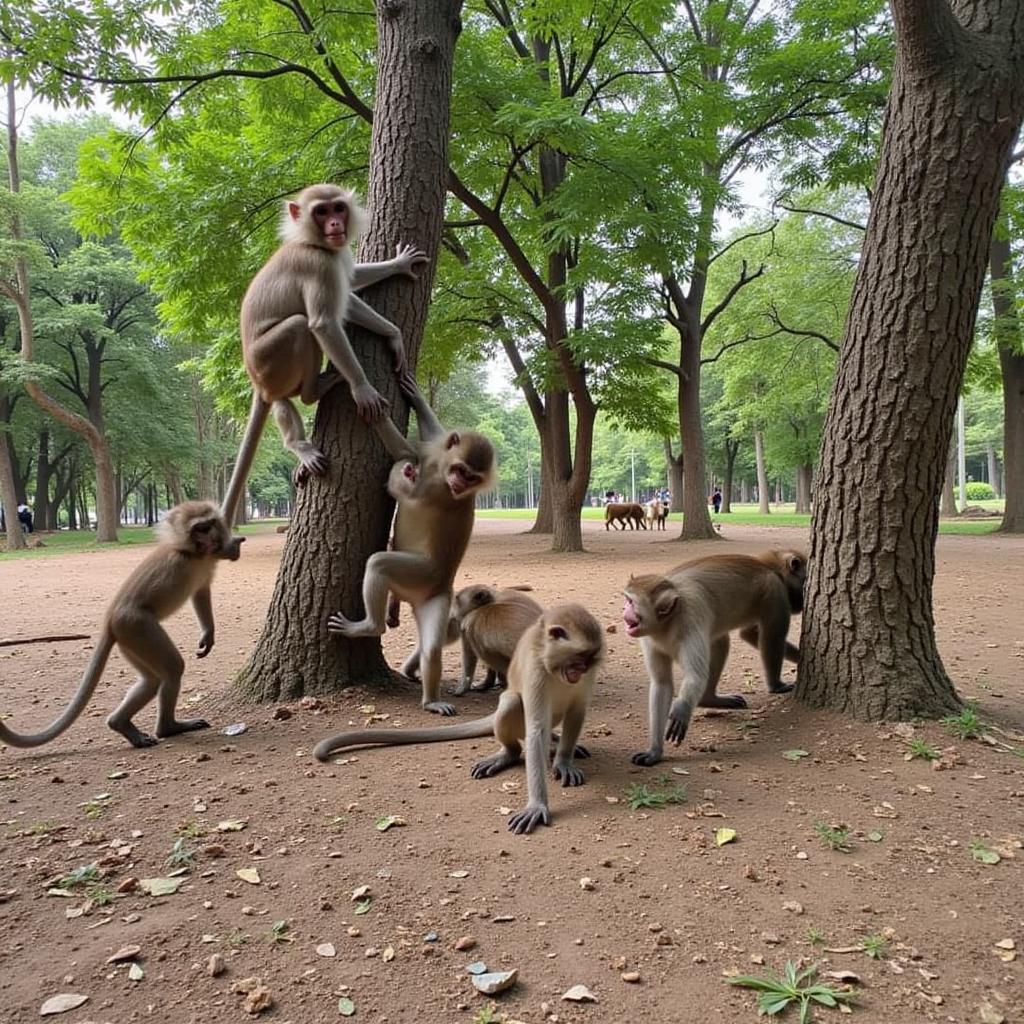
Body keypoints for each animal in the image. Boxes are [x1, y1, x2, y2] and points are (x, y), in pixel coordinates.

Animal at [0, 499, 242, 749]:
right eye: (199, 529)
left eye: (210, 524)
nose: (210, 538)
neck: (193, 554)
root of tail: (109, 621)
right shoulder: (182, 561)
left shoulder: (208, 561)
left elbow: (201, 592)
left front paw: (208, 634)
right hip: (136, 627)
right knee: (172, 668)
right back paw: (168, 728)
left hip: (128, 641)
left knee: (152, 680)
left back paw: (120, 724)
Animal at [222, 180, 430, 524]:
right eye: (321, 211)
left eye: (339, 208)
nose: (335, 224)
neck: (312, 242)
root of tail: (254, 378)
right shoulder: (319, 265)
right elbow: (324, 322)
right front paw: (363, 389)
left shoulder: (335, 258)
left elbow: (349, 291)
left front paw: (392, 325)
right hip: (269, 359)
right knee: (300, 325)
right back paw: (313, 395)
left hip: (270, 375)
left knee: (279, 399)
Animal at [313, 606, 598, 831]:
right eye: (578, 658)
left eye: (589, 658)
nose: (581, 670)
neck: (555, 669)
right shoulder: (536, 669)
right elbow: (536, 729)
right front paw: (537, 805)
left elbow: (577, 710)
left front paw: (564, 761)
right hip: (512, 709)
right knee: (512, 704)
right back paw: (508, 753)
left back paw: (555, 742)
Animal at [323, 372, 491, 716]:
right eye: (461, 471)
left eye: (471, 477)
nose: (459, 484)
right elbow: (433, 435)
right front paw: (416, 399)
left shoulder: (434, 485)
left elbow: (400, 465)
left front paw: (367, 402)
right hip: (435, 599)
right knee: (431, 649)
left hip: (423, 577)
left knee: (379, 564)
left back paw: (371, 627)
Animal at [622, 548, 806, 765]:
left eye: (630, 602)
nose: (624, 611)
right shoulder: (776, 590)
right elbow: (664, 684)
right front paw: (777, 685)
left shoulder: (687, 620)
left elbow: (749, 636)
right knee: (722, 642)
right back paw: (708, 699)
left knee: (719, 641)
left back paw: (708, 699)